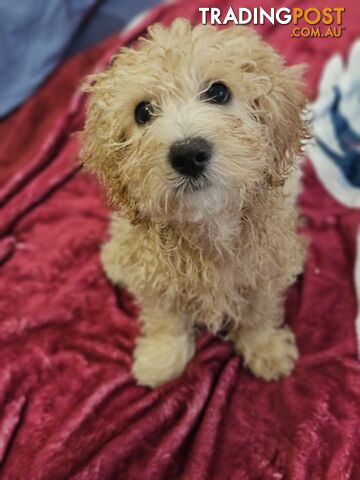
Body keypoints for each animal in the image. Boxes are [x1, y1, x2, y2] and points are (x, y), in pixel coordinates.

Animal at [80, 18, 308, 388]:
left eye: (219, 92)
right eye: (143, 112)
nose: (188, 154)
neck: (207, 222)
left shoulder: (264, 268)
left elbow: (258, 311)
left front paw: (266, 349)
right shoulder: (156, 274)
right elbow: (164, 316)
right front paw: (160, 359)